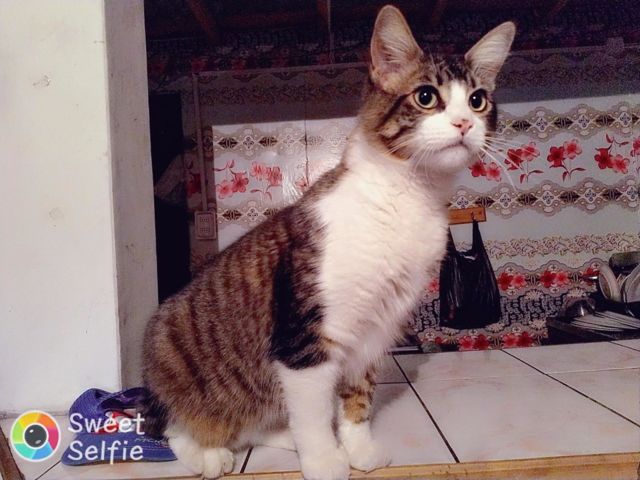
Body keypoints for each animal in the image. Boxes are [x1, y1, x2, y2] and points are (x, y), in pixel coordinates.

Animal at [142, 5, 514, 480]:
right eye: (426, 96)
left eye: (478, 100)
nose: (464, 123)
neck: (408, 196)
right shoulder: (307, 336)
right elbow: (315, 412)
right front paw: (323, 460)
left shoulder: (374, 331)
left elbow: (357, 400)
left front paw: (357, 449)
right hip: (168, 350)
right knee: (175, 427)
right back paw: (209, 454)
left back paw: (282, 435)